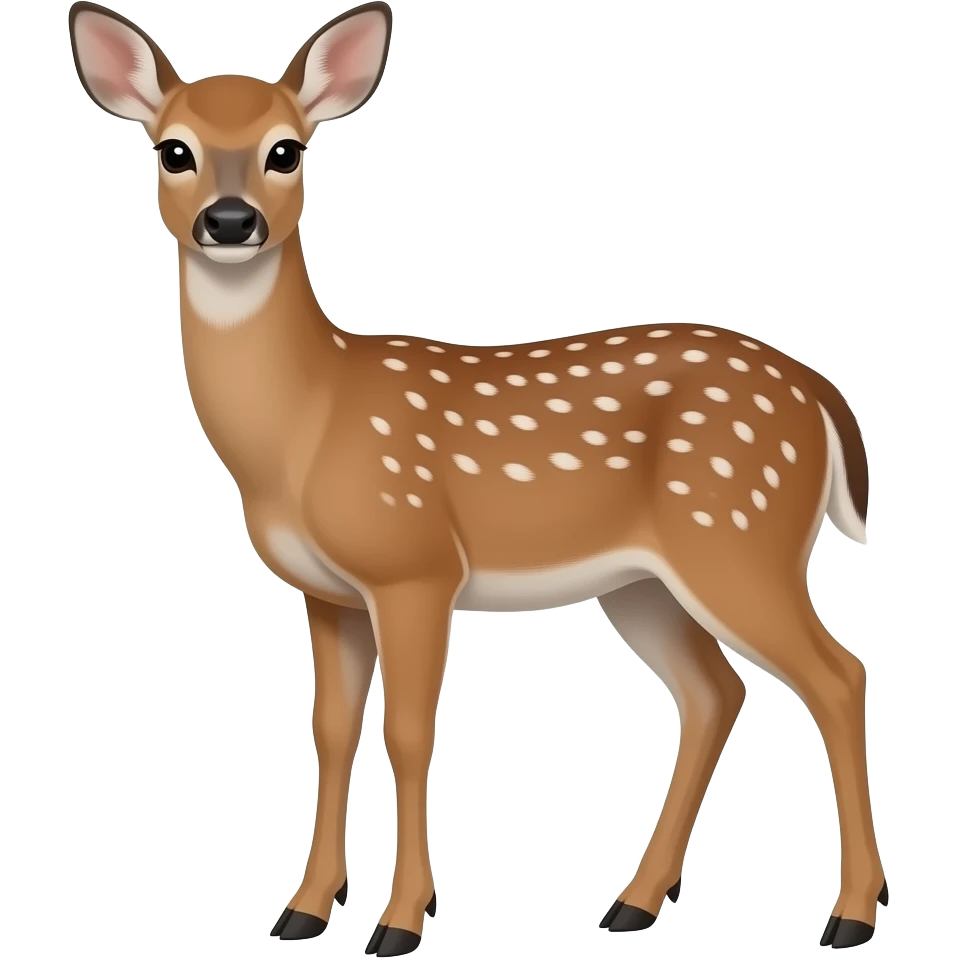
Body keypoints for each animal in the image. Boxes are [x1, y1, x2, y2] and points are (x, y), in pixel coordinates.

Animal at [68, 1, 886, 952]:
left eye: (286, 150)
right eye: (174, 149)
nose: (229, 221)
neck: (306, 423)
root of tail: (822, 397)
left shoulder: (415, 565)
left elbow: (410, 732)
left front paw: (400, 922)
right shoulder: (329, 592)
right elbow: (331, 730)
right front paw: (303, 910)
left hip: (739, 533)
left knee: (837, 676)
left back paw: (849, 915)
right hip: (645, 581)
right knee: (715, 693)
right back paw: (633, 904)